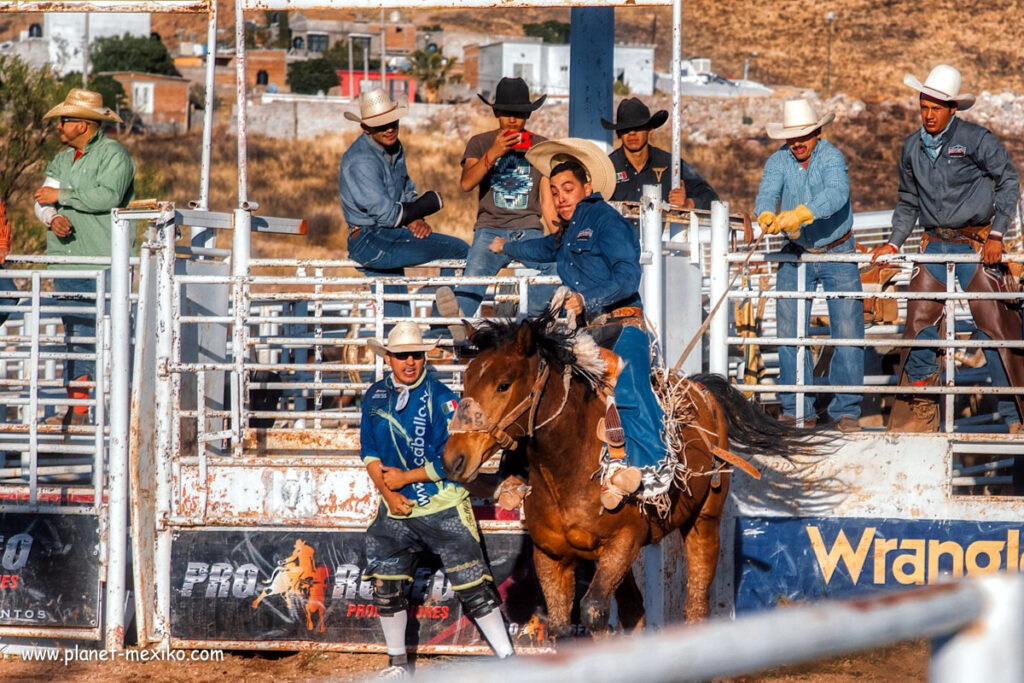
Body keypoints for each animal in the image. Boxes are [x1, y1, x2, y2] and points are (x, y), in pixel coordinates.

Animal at [444, 313, 819, 638]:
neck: (567, 468)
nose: (453, 459)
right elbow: (562, 625)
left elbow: (593, 610)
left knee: (696, 601)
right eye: (466, 379)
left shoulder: (623, 540)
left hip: (704, 520)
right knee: (633, 610)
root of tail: (700, 390)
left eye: (504, 384)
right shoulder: (550, 554)